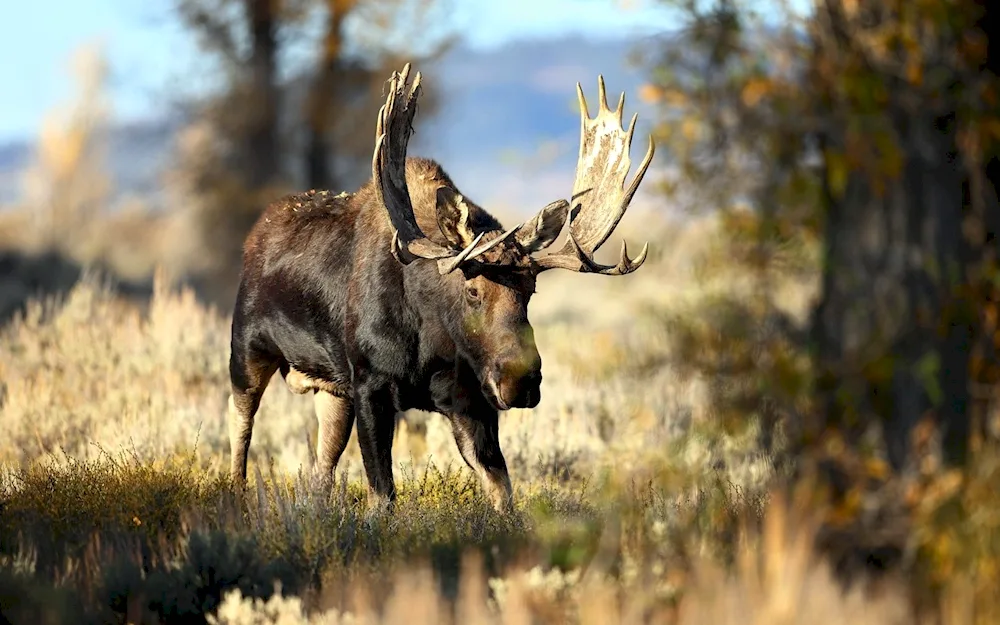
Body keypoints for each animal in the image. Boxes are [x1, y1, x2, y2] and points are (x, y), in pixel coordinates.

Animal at [229, 62, 656, 512]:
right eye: (472, 291)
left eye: (530, 291)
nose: (521, 379)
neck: (428, 341)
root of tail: (256, 233)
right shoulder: (370, 384)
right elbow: (382, 493)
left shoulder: (470, 400)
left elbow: (501, 490)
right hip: (247, 350)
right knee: (240, 425)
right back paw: (234, 494)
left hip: (330, 388)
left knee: (322, 464)